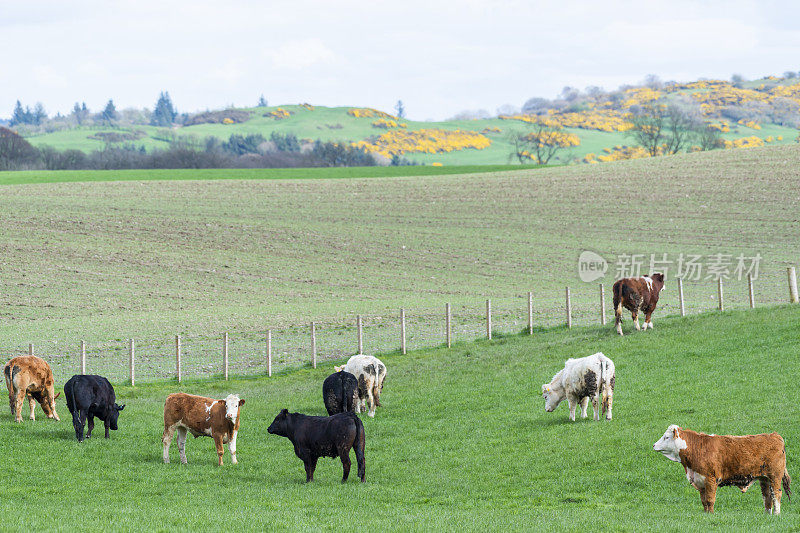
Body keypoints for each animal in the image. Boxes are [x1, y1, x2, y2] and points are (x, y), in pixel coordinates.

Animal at [652, 424, 792, 512]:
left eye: (666, 437)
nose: (654, 445)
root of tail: (774, 435)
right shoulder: (700, 481)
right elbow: (704, 502)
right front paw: (706, 514)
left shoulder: (710, 479)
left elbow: (710, 500)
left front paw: (711, 515)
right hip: (764, 478)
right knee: (767, 497)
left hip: (775, 476)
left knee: (776, 495)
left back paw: (776, 514)